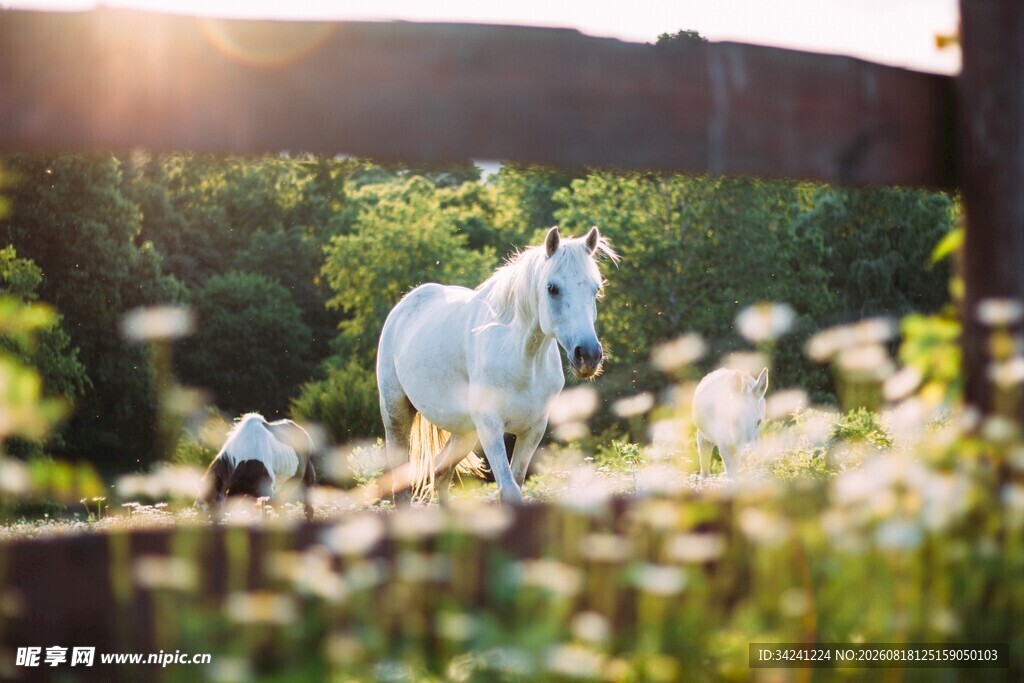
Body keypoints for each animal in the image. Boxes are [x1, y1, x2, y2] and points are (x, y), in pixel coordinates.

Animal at [375, 226, 618, 504]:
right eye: (552, 288)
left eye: (595, 289)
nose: (588, 355)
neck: (522, 361)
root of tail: (405, 304)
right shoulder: (490, 426)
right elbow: (509, 489)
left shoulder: (533, 430)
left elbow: (517, 482)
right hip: (396, 415)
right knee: (402, 484)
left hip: (465, 433)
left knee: (441, 472)